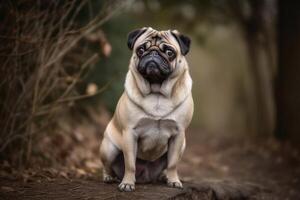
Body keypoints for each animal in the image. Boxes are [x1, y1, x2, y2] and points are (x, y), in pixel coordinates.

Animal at [99, 27, 193, 191]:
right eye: (141, 50)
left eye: (170, 52)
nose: (153, 54)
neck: (157, 93)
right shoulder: (130, 133)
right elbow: (130, 164)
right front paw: (127, 183)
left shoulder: (178, 134)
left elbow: (173, 164)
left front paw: (174, 181)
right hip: (109, 149)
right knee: (107, 166)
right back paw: (108, 177)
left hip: (182, 145)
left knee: (168, 166)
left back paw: (165, 177)